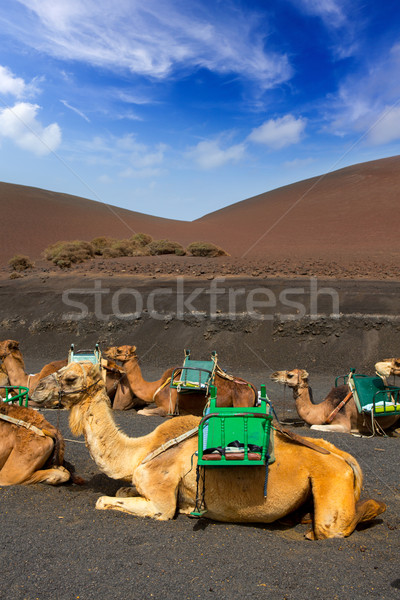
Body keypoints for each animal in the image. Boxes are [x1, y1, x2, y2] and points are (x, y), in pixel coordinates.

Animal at [103, 346, 256, 418]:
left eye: (119, 349)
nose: (105, 350)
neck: (155, 387)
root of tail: (251, 387)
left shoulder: (168, 407)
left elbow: (142, 412)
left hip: (241, 402)